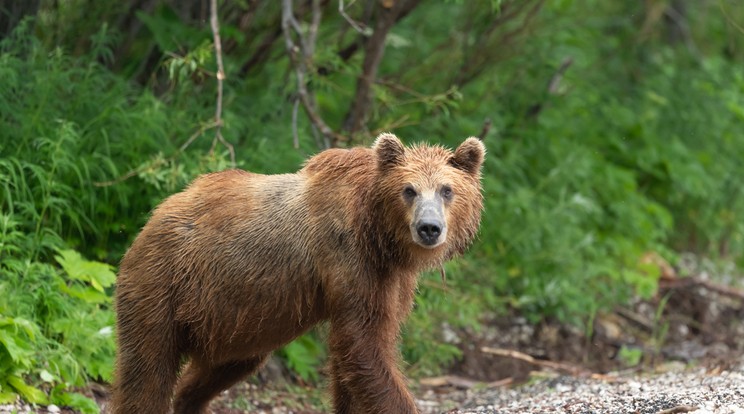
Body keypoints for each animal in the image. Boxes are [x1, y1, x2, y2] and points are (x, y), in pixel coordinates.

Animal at [109, 133, 482, 414]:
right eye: (409, 189)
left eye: (447, 190)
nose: (429, 228)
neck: (379, 234)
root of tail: (153, 216)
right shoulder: (349, 258)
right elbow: (365, 346)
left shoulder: (390, 278)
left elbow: (356, 353)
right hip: (162, 283)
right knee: (147, 370)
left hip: (235, 320)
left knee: (220, 369)